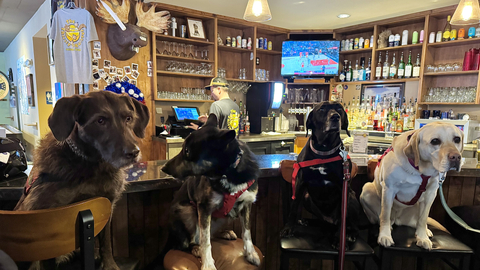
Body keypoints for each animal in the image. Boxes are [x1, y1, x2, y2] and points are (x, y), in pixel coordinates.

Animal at [14, 91, 149, 270]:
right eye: (100, 121)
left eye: (128, 118)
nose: (133, 152)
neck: (93, 165)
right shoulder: (42, 217)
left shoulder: (106, 206)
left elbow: (106, 243)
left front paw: (109, 265)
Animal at [162, 114, 260, 270]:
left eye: (187, 151)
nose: (163, 168)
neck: (228, 173)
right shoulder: (204, 207)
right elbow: (205, 241)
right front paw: (208, 264)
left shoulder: (246, 204)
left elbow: (247, 233)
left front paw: (251, 254)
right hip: (188, 211)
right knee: (185, 243)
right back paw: (195, 248)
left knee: (212, 234)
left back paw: (225, 233)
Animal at [282, 101, 360, 249]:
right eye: (322, 109)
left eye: (339, 108)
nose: (335, 117)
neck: (324, 150)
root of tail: (330, 221)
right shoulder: (300, 182)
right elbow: (294, 207)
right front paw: (288, 228)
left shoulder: (343, 187)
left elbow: (343, 215)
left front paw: (339, 240)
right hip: (307, 198)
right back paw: (306, 222)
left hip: (351, 197)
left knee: (348, 224)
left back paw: (349, 235)